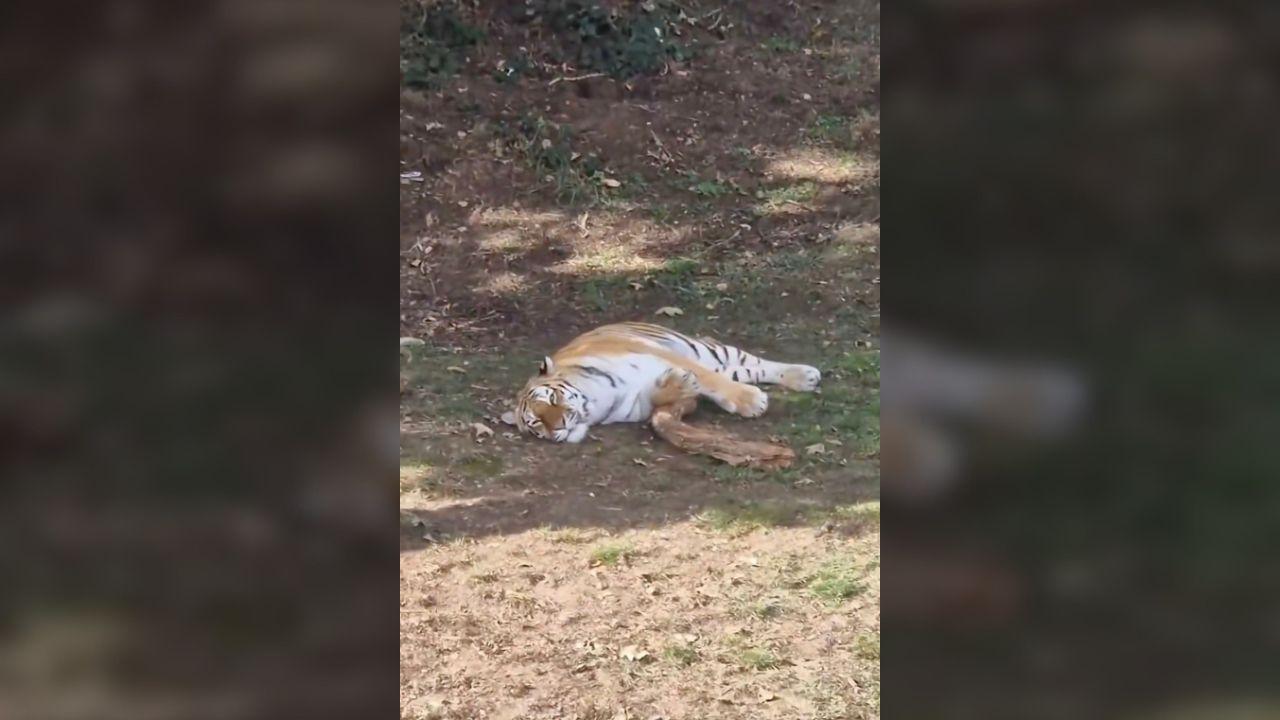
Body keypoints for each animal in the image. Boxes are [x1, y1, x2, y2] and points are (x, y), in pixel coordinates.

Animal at [500, 322, 822, 443]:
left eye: (552, 400)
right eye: (536, 423)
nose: (558, 428)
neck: (598, 403)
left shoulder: (656, 352)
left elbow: (708, 379)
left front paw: (751, 401)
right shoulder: (637, 405)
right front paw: (677, 383)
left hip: (707, 350)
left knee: (754, 363)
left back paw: (805, 375)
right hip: (722, 362)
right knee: (742, 370)